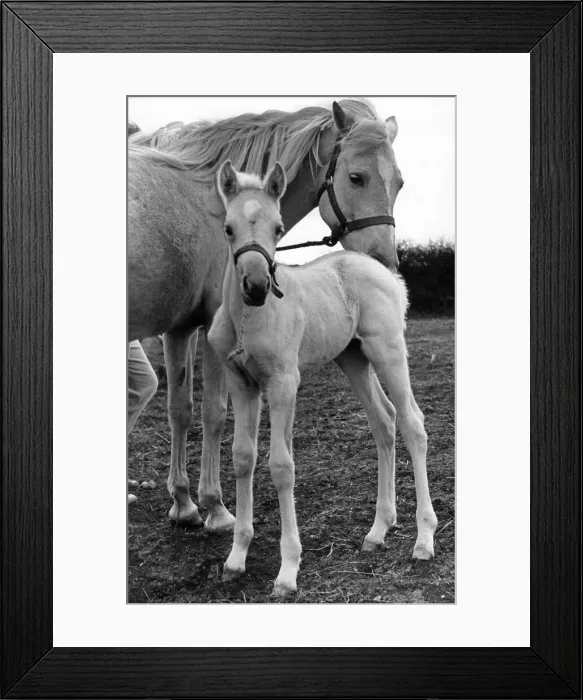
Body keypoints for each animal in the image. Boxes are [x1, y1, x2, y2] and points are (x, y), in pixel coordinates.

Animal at [128, 99, 404, 533]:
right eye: (356, 178)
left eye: (400, 183)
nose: (384, 264)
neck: (211, 201)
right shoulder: (212, 331)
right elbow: (214, 413)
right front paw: (217, 508)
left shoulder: (180, 330)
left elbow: (180, 411)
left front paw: (184, 503)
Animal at [208, 161, 437, 596]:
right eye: (228, 228)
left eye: (279, 228)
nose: (256, 287)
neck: (249, 319)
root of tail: (386, 273)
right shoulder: (241, 383)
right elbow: (243, 458)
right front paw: (235, 558)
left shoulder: (283, 383)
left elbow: (282, 466)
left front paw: (287, 571)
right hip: (354, 359)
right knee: (384, 422)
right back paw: (377, 531)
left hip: (387, 351)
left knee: (413, 424)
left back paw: (423, 539)